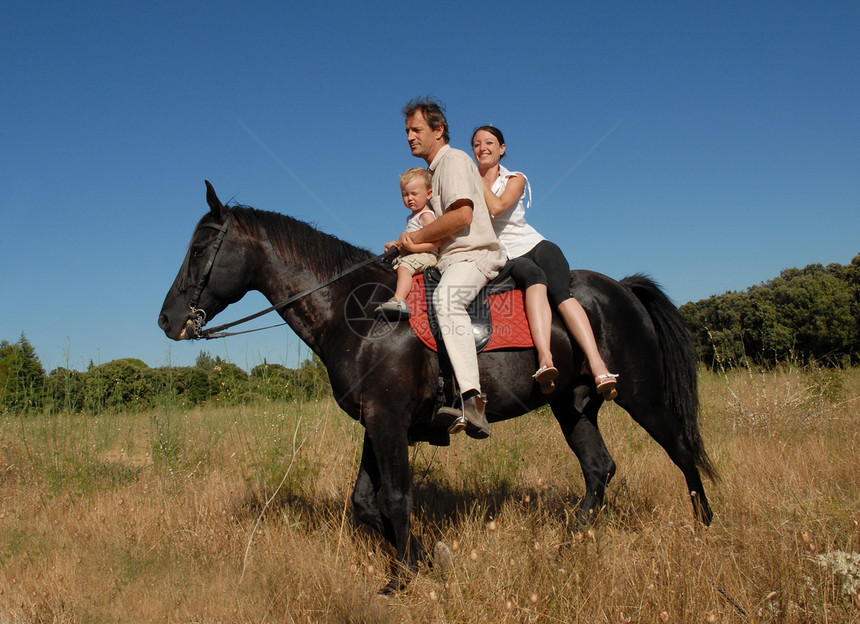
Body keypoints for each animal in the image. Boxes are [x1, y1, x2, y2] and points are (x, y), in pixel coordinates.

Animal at [158, 183, 716, 592]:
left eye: (200, 248)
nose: (166, 320)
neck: (360, 315)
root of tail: (621, 288)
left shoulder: (388, 421)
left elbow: (397, 498)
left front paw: (403, 578)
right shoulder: (378, 422)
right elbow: (366, 503)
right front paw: (428, 557)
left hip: (642, 394)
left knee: (681, 450)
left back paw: (705, 526)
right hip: (572, 406)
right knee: (599, 469)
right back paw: (567, 545)